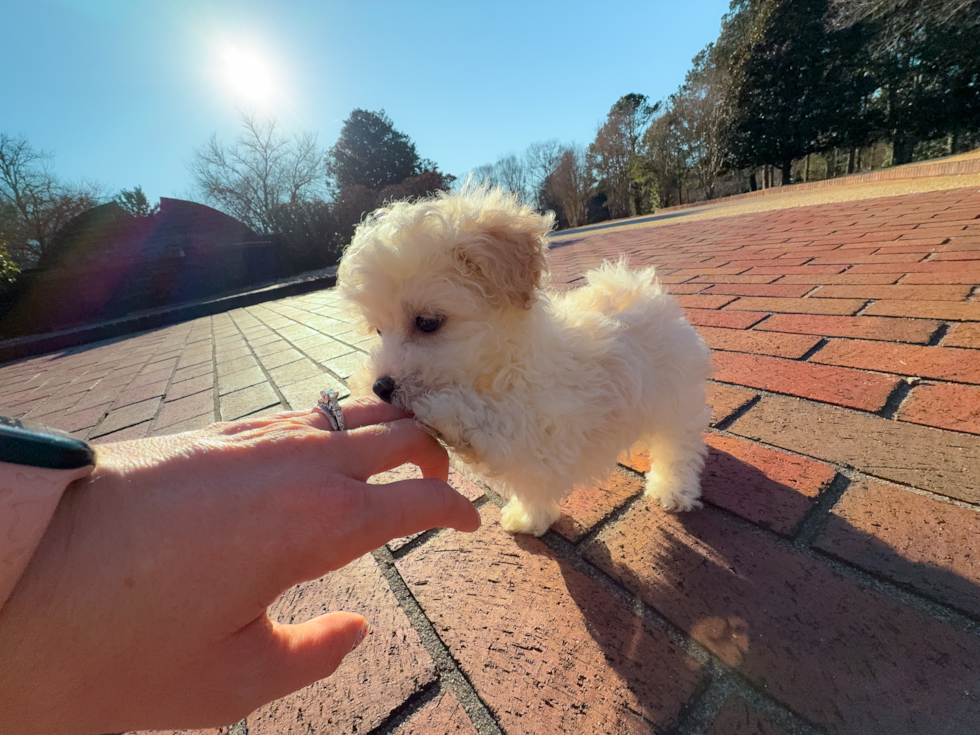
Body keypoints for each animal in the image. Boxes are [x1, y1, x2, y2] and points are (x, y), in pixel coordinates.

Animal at [338, 187, 712, 536]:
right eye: (379, 330)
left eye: (428, 322)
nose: (380, 387)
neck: (500, 367)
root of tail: (639, 286)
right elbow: (528, 480)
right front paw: (529, 517)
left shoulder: (553, 422)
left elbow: (507, 424)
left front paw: (449, 414)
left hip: (675, 398)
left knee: (677, 447)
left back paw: (673, 489)